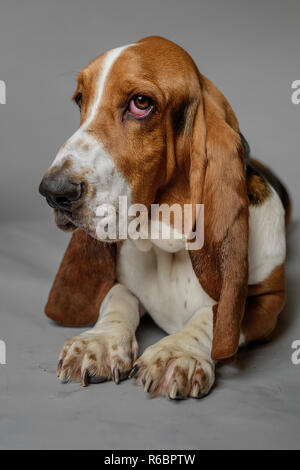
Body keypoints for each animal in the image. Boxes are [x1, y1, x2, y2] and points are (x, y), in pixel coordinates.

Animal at [38, 36, 290, 400]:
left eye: (141, 103)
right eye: (80, 99)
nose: (53, 191)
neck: (168, 243)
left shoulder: (269, 299)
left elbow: (214, 315)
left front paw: (178, 352)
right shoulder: (121, 283)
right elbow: (116, 297)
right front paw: (100, 342)